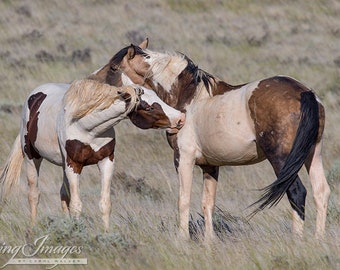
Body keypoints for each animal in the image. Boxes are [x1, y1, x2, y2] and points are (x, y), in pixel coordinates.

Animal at [0, 77, 185, 230]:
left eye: (158, 98)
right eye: (148, 107)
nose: (181, 118)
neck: (87, 127)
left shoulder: (106, 161)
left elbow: (105, 203)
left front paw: (105, 234)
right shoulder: (74, 165)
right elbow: (76, 205)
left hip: (62, 165)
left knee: (63, 194)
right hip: (32, 157)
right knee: (33, 195)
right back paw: (32, 230)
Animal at [111, 39, 330, 239]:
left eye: (113, 67)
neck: (188, 95)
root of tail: (305, 92)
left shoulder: (184, 159)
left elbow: (184, 200)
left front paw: (182, 240)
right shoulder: (210, 165)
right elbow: (208, 203)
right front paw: (209, 242)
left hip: (281, 159)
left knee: (297, 192)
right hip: (312, 155)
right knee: (321, 192)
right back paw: (318, 240)